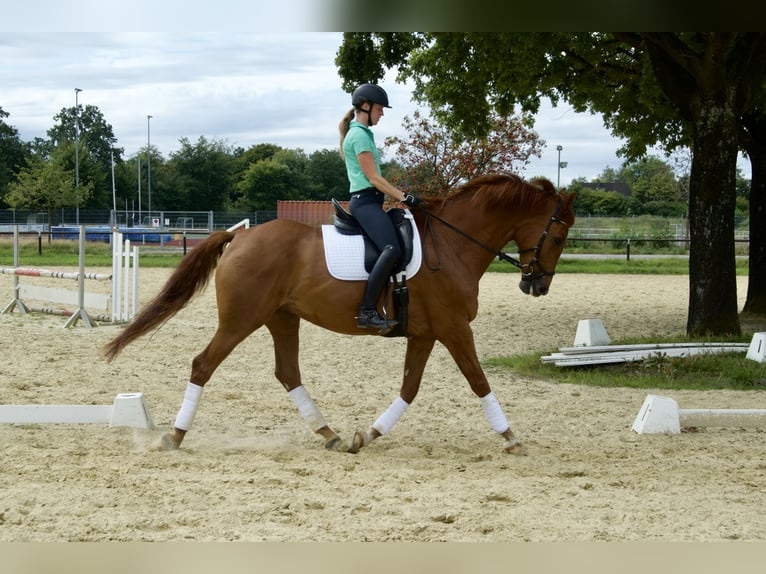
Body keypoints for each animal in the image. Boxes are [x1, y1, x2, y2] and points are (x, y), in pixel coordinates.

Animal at [102, 174, 576, 454]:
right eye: (558, 235)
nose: (537, 285)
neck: (454, 244)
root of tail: (240, 238)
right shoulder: (455, 329)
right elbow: (479, 381)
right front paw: (511, 437)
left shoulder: (426, 333)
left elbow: (410, 389)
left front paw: (367, 435)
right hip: (241, 320)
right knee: (203, 364)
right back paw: (174, 436)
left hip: (281, 318)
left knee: (288, 373)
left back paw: (329, 434)